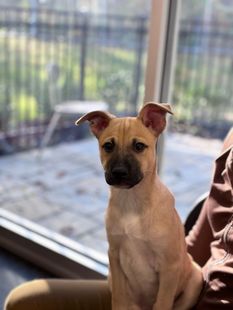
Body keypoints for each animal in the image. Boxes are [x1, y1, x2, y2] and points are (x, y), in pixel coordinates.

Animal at [75, 102, 203, 310]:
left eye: (139, 146)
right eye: (108, 146)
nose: (119, 172)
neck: (131, 203)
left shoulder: (169, 267)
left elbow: (163, 303)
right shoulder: (115, 257)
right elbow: (118, 299)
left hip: (196, 280)